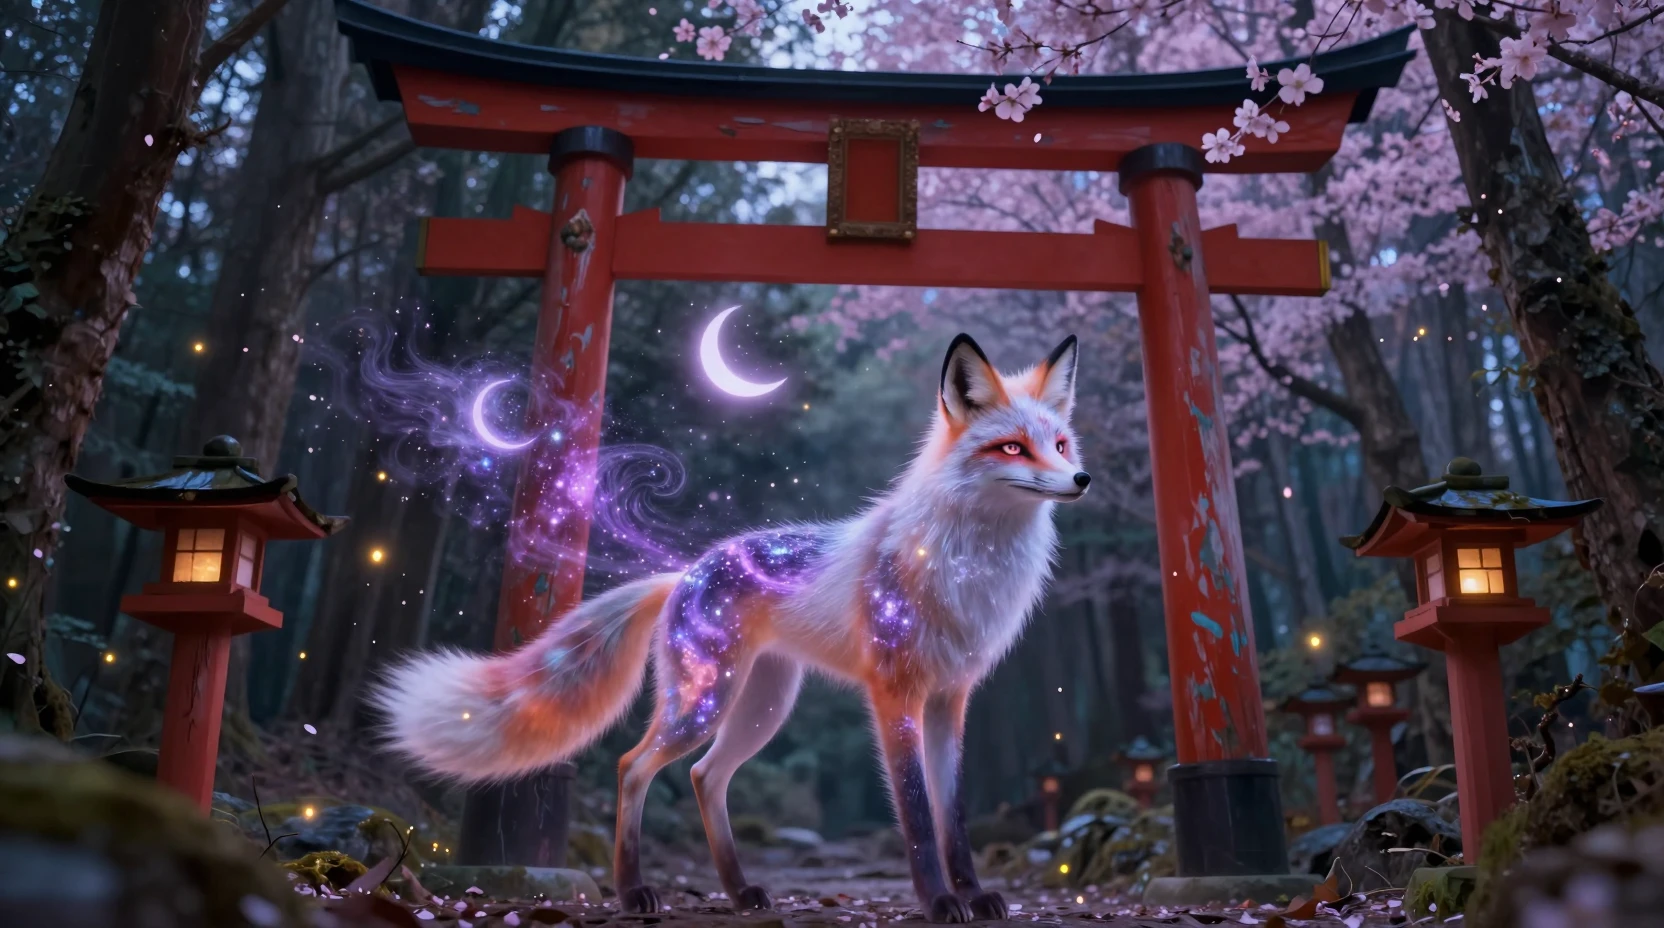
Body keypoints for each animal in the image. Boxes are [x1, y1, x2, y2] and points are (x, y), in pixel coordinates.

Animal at [371, 333, 1089, 923]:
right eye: (1011, 447)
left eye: (1059, 444)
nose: (1082, 478)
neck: (968, 569)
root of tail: (685, 572)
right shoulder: (895, 695)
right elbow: (916, 814)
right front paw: (939, 902)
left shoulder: (949, 699)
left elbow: (954, 818)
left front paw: (973, 894)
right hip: (705, 703)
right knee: (635, 766)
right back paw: (633, 893)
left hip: (760, 708)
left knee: (704, 777)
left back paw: (740, 891)